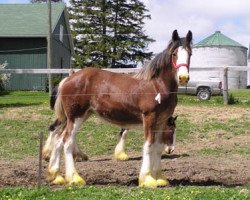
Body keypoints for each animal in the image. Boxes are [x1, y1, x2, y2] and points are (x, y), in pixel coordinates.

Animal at [45, 29, 192, 188]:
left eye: (190, 53)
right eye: (174, 54)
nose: (183, 77)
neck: (157, 86)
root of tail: (67, 79)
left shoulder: (161, 121)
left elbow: (158, 147)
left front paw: (159, 178)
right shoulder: (149, 118)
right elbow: (149, 146)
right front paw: (147, 179)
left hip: (78, 116)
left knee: (59, 139)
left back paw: (56, 176)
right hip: (75, 117)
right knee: (67, 142)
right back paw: (74, 178)